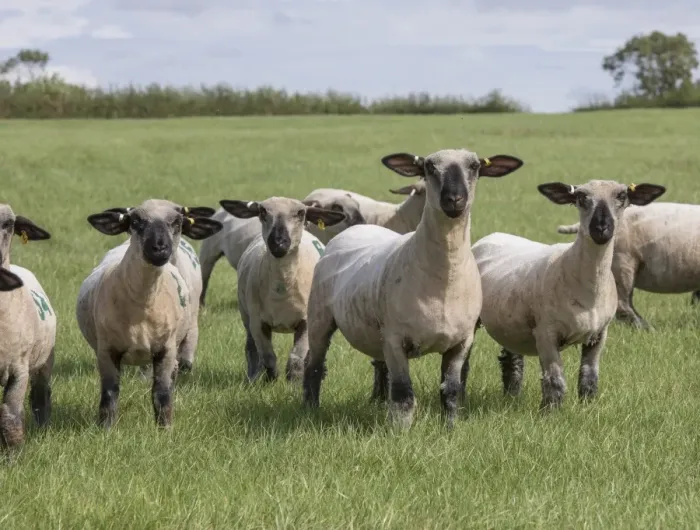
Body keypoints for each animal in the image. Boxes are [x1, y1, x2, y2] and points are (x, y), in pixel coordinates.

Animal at [76, 199, 223, 428]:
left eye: (177, 222)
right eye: (135, 221)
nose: (159, 248)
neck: (142, 304)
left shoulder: (166, 349)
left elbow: (161, 393)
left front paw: (164, 428)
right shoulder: (107, 349)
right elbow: (110, 393)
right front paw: (106, 428)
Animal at [198, 194, 364, 306]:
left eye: (357, 206)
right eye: (337, 207)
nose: (362, 222)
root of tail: (220, 210)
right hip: (208, 251)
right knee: (204, 277)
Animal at [218, 197, 347, 382]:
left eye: (301, 213)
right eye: (262, 211)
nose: (278, 243)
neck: (283, 289)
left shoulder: (306, 322)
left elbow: (296, 358)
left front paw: (293, 382)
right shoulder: (258, 322)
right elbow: (268, 356)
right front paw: (271, 379)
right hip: (245, 313)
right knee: (251, 347)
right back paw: (252, 376)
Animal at [302, 149, 524, 429]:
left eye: (475, 167)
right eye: (429, 167)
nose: (454, 199)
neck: (444, 279)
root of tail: (358, 227)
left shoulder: (461, 342)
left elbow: (451, 391)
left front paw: (450, 428)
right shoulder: (396, 340)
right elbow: (403, 394)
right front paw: (400, 431)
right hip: (319, 317)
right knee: (314, 365)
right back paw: (310, 409)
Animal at [472, 180, 665, 409]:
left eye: (622, 196)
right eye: (580, 197)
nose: (601, 228)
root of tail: (493, 235)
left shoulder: (600, 333)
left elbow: (589, 377)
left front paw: (587, 408)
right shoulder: (546, 333)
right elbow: (555, 381)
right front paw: (550, 412)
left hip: (510, 322)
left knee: (511, 360)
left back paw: (512, 396)